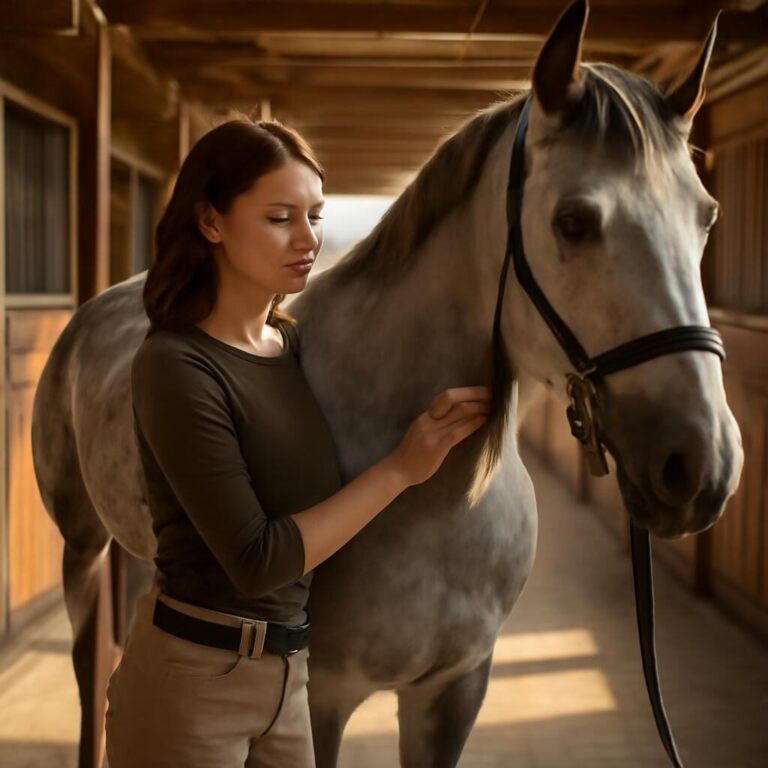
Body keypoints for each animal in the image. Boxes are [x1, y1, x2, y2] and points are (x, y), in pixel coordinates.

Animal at [32, 2, 743, 766]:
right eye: (574, 222)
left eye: (708, 217)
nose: (702, 466)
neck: (438, 506)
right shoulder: (321, 697)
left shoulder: (453, 692)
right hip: (81, 547)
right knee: (88, 664)